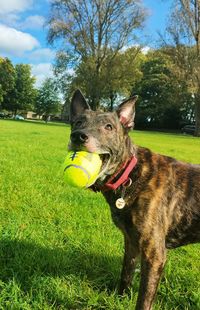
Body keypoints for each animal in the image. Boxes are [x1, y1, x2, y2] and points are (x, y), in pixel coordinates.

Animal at [69, 88, 200, 308]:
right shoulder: (131, 242)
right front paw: (120, 298)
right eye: (78, 122)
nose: (78, 136)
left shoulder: (154, 254)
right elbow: (126, 274)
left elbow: (144, 298)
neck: (131, 174)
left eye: (109, 127)